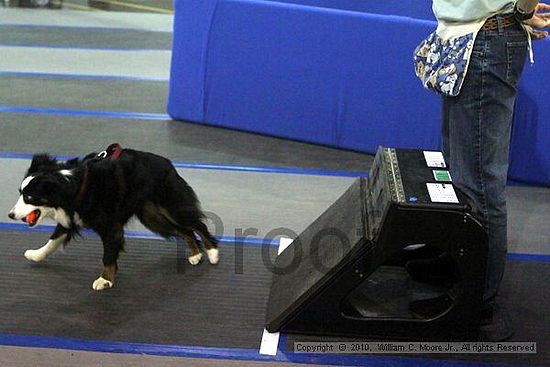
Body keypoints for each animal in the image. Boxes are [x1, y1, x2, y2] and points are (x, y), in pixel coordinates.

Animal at [8, 145, 220, 292]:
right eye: (20, 193)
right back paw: (195, 254)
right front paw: (36, 254)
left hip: (172, 206)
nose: (10, 215)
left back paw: (212, 253)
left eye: (29, 197)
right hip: (152, 217)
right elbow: (53, 240)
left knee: (198, 225)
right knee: (185, 231)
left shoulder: (110, 227)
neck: (73, 187)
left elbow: (108, 256)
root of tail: (169, 164)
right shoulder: (70, 217)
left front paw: (105, 280)